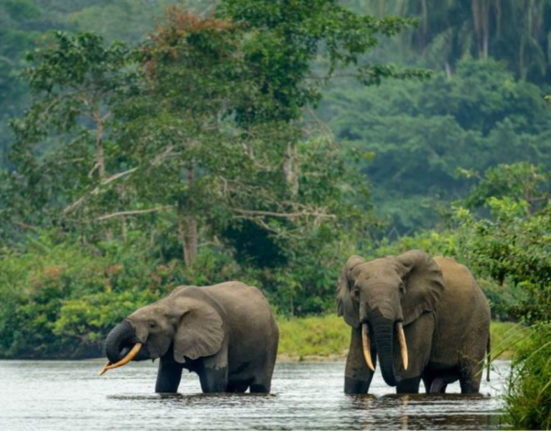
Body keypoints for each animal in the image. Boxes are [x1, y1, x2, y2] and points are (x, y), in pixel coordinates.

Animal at [98, 282, 280, 394]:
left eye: (152, 325)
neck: (172, 304)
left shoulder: (220, 335)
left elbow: (212, 384)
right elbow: (166, 381)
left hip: (271, 343)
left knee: (260, 385)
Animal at [336, 250, 492, 394]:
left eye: (401, 289)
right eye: (356, 292)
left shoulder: (423, 313)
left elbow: (409, 372)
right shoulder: (356, 317)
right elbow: (357, 369)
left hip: (478, 321)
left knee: (469, 375)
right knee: (432, 378)